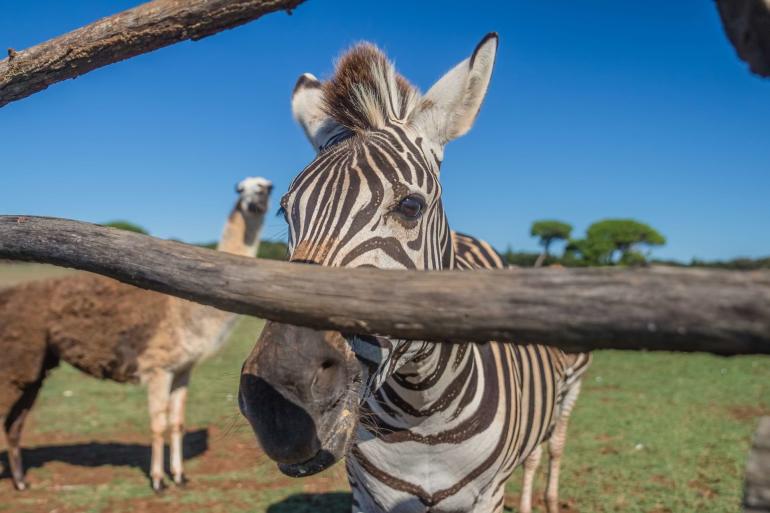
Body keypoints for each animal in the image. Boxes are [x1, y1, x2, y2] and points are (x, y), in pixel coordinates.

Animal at [237, 34, 592, 510]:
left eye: (410, 206)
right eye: (286, 212)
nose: (277, 405)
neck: (423, 418)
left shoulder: (488, 495)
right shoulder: (367, 497)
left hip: (568, 392)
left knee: (548, 449)